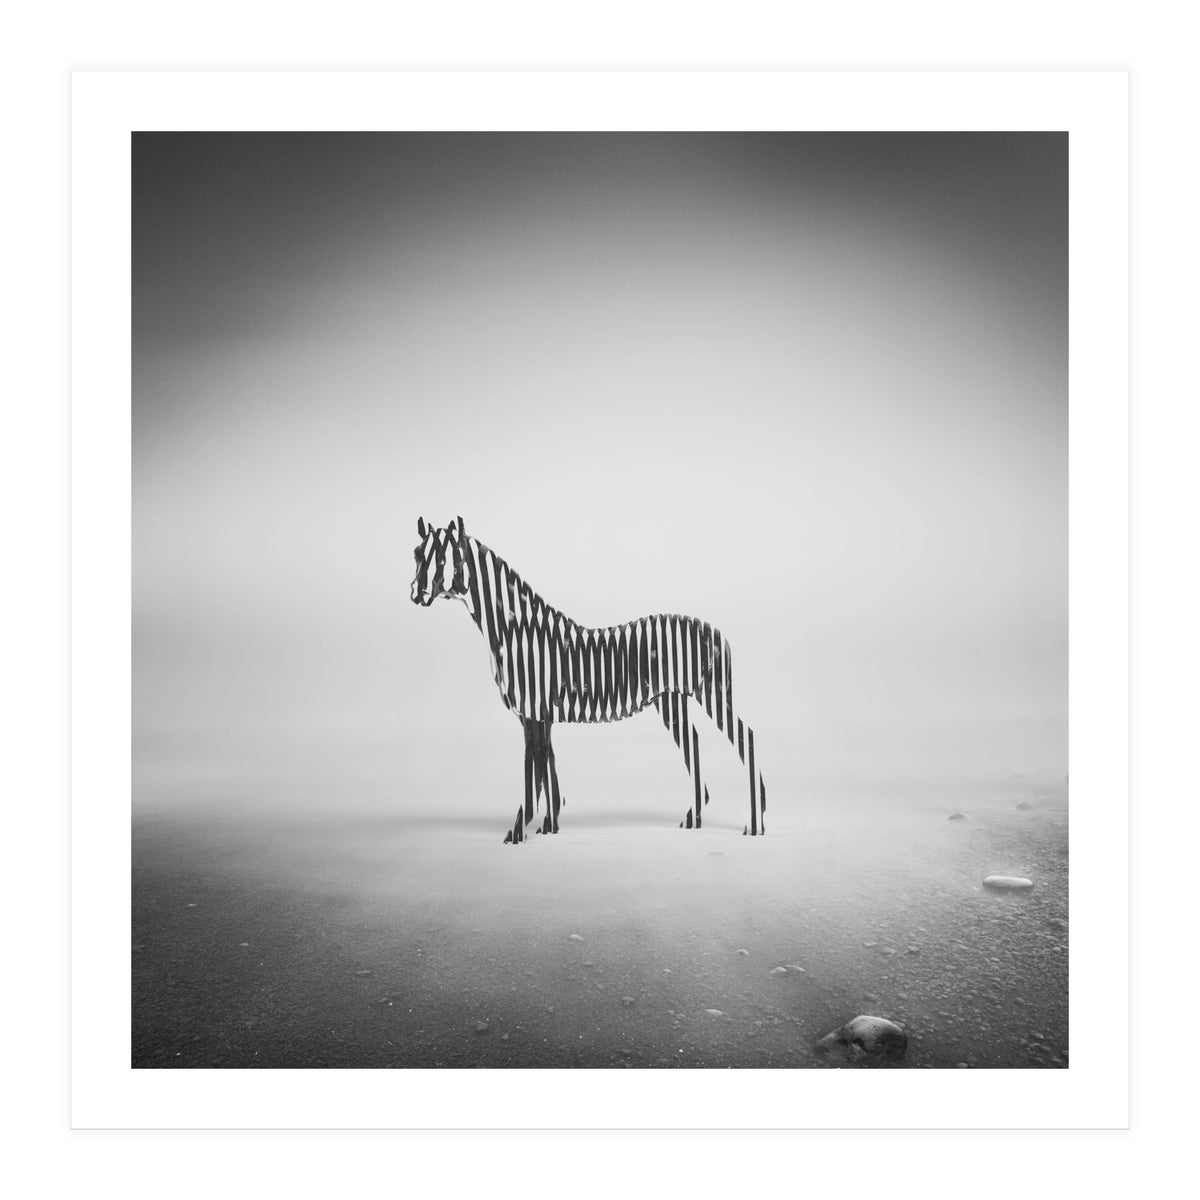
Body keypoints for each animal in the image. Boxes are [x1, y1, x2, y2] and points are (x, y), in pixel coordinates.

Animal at [410, 516, 766, 844]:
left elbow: (533, 774)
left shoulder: (533, 711)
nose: (416, 594)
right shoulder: (540, 714)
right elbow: (547, 769)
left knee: (746, 737)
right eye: (416, 553)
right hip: (671, 700)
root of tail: (716, 631)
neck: (518, 632)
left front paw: (518, 831)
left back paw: (755, 823)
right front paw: (549, 826)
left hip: (711, 694)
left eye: (444, 559)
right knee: (694, 742)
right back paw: (694, 818)